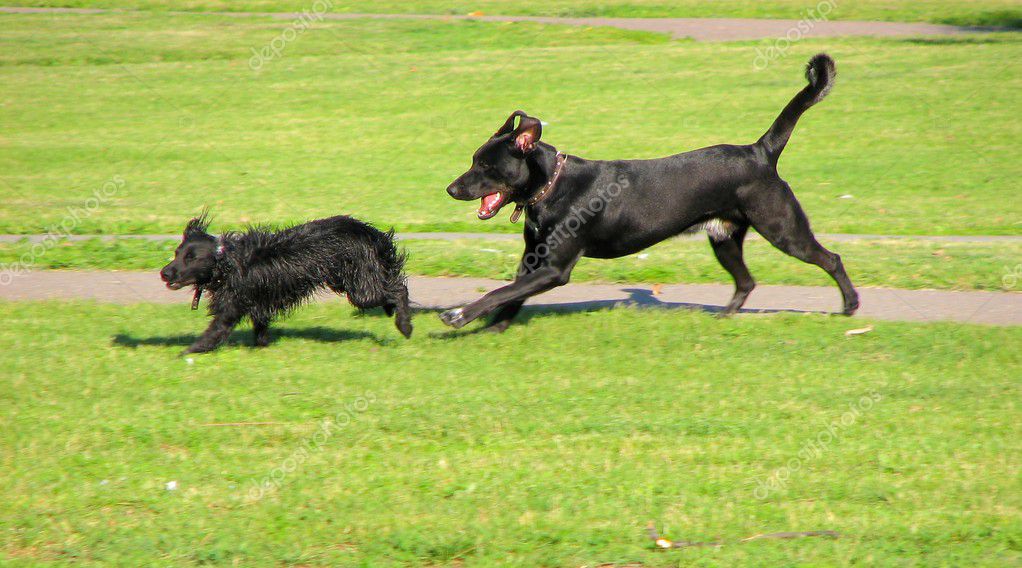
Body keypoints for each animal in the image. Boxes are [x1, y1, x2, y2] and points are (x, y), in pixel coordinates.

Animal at [159, 214, 410, 353]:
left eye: (191, 258)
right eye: (177, 253)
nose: (164, 273)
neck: (228, 262)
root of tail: (371, 233)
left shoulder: (231, 307)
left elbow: (213, 334)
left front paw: (185, 353)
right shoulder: (256, 306)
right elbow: (260, 330)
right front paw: (262, 347)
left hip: (361, 291)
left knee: (399, 289)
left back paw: (405, 326)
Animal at [443, 54, 858, 330]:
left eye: (486, 166)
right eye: (473, 160)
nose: (450, 188)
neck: (553, 186)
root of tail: (760, 151)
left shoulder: (554, 269)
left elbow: (499, 292)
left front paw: (459, 314)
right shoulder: (533, 260)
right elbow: (511, 293)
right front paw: (496, 326)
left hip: (782, 227)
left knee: (831, 259)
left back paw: (850, 305)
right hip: (724, 237)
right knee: (746, 281)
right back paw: (725, 318)